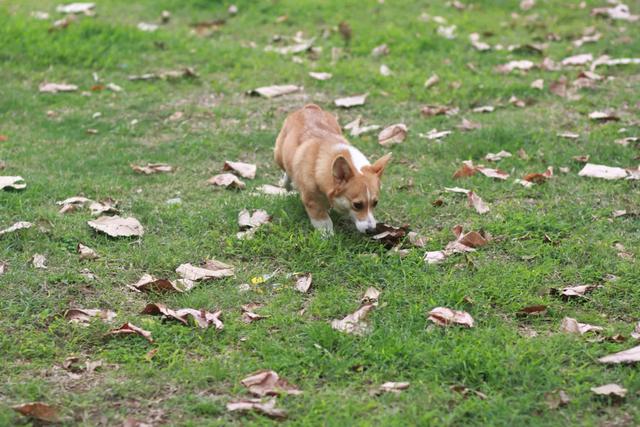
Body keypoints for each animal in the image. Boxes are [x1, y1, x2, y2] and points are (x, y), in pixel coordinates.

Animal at [274, 105, 390, 236]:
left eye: (375, 203)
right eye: (357, 205)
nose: (371, 231)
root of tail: (310, 107)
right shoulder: (311, 200)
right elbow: (322, 219)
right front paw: (327, 235)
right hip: (278, 156)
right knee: (286, 171)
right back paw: (287, 184)